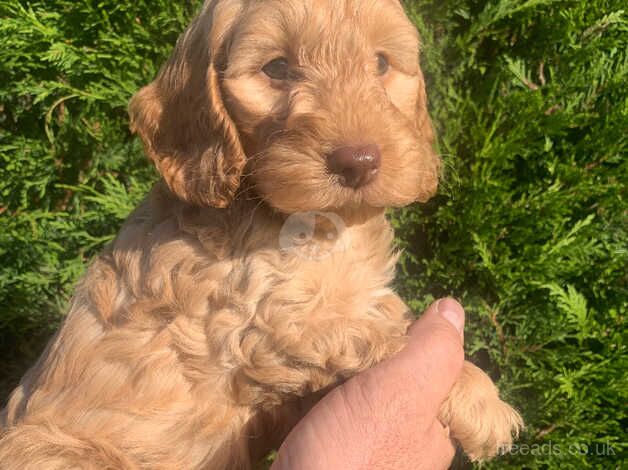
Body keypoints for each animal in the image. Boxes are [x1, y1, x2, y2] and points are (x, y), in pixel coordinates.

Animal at [0, 0, 524, 466]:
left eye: (380, 63)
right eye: (277, 68)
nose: (358, 161)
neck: (321, 225)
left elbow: (378, 312)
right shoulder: (260, 324)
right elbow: (375, 332)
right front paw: (481, 396)